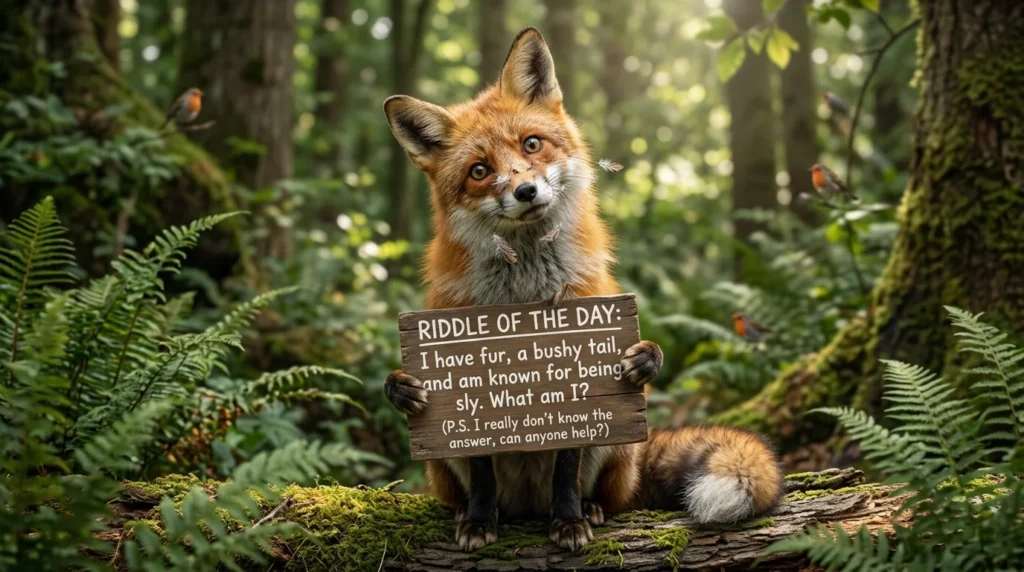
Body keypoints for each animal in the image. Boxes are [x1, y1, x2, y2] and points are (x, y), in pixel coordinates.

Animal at [382, 27, 784, 552]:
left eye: (532, 144)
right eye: (479, 171)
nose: (525, 192)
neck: (524, 297)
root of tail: (527, 505)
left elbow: (567, 466)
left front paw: (570, 521)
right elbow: (481, 465)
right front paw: (479, 522)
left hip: (617, 450)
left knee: (607, 493)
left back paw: (590, 508)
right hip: (441, 468)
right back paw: (471, 513)